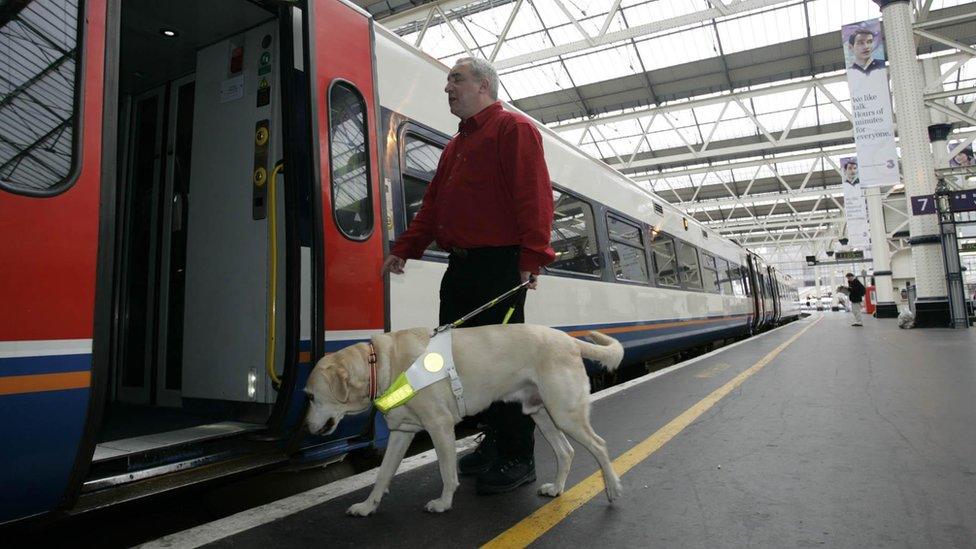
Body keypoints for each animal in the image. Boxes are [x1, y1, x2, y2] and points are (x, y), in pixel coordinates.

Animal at [304, 324, 624, 516]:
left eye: (311, 397)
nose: (306, 427)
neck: (382, 363)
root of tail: (568, 339)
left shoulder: (440, 426)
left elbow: (447, 473)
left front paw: (444, 503)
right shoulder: (401, 433)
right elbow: (383, 474)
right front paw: (367, 506)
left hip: (565, 413)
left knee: (600, 445)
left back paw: (612, 488)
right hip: (542, 413)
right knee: (566, 452)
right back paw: (557, 488)